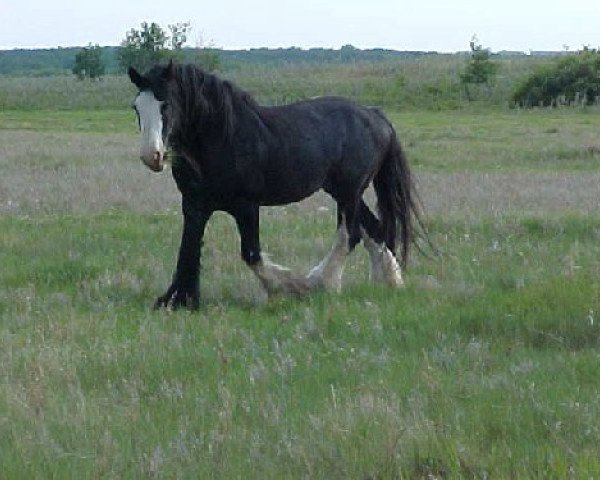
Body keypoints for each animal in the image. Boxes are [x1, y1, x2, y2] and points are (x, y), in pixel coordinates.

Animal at [129, 60, 424, 310]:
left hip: (349, 192)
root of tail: (375, 116)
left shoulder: (246, 206)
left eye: (166, 104)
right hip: (342, 191)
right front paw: (177, 300)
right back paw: (389, 281)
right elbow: (188, 250)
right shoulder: (194, 205)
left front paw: (289, 288)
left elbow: (251, 254)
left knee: (349, 236)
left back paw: (324, 283)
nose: (151, 156)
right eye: (136, 107)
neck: (222, 137)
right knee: (375, 229)